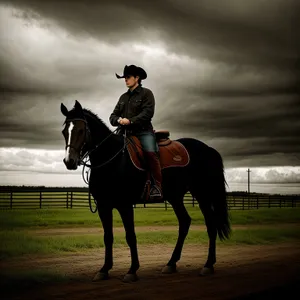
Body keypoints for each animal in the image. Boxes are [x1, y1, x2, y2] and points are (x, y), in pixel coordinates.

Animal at [60, 99, 230, 282]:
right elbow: (108, 237)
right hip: (176, 197)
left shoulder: (125, 205)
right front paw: (104, 269)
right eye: (64, 131)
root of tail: (208, 149)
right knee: (185, 222)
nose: (69, 161)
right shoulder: (104, 206)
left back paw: (208, 265)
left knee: (211, 224)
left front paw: (132, 270)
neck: (112, 159)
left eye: (81, 130)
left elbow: (130, 236)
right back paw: (171, 263)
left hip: (202, 194)